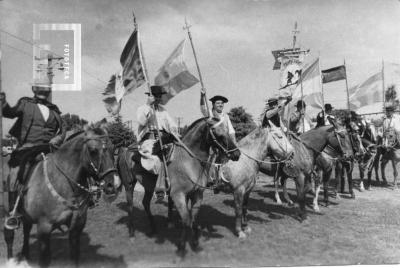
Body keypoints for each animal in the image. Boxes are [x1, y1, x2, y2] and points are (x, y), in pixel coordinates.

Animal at [3, 126, 120, 268]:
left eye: (113, 148)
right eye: (93, 151)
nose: (113, 184)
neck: (63, 182)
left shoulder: (76, 227)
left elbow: (74, 256)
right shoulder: (44, 229)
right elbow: (44, 260)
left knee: (26, 229)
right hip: (9, 212)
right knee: (9, 236)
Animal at [116, 116, 241, 255]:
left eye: (227, 130)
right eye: (217, 133)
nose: (237, 154)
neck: (188, 161)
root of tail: (125, 149)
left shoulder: (197, 195)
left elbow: (193, 219)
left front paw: (195, 244)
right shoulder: (178, 196)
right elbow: (186, 220)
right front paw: (182, 247)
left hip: (148, 187)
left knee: (145, 203)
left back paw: (153, 229)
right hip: (129, 184)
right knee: (130, 206)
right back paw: (132, 234)